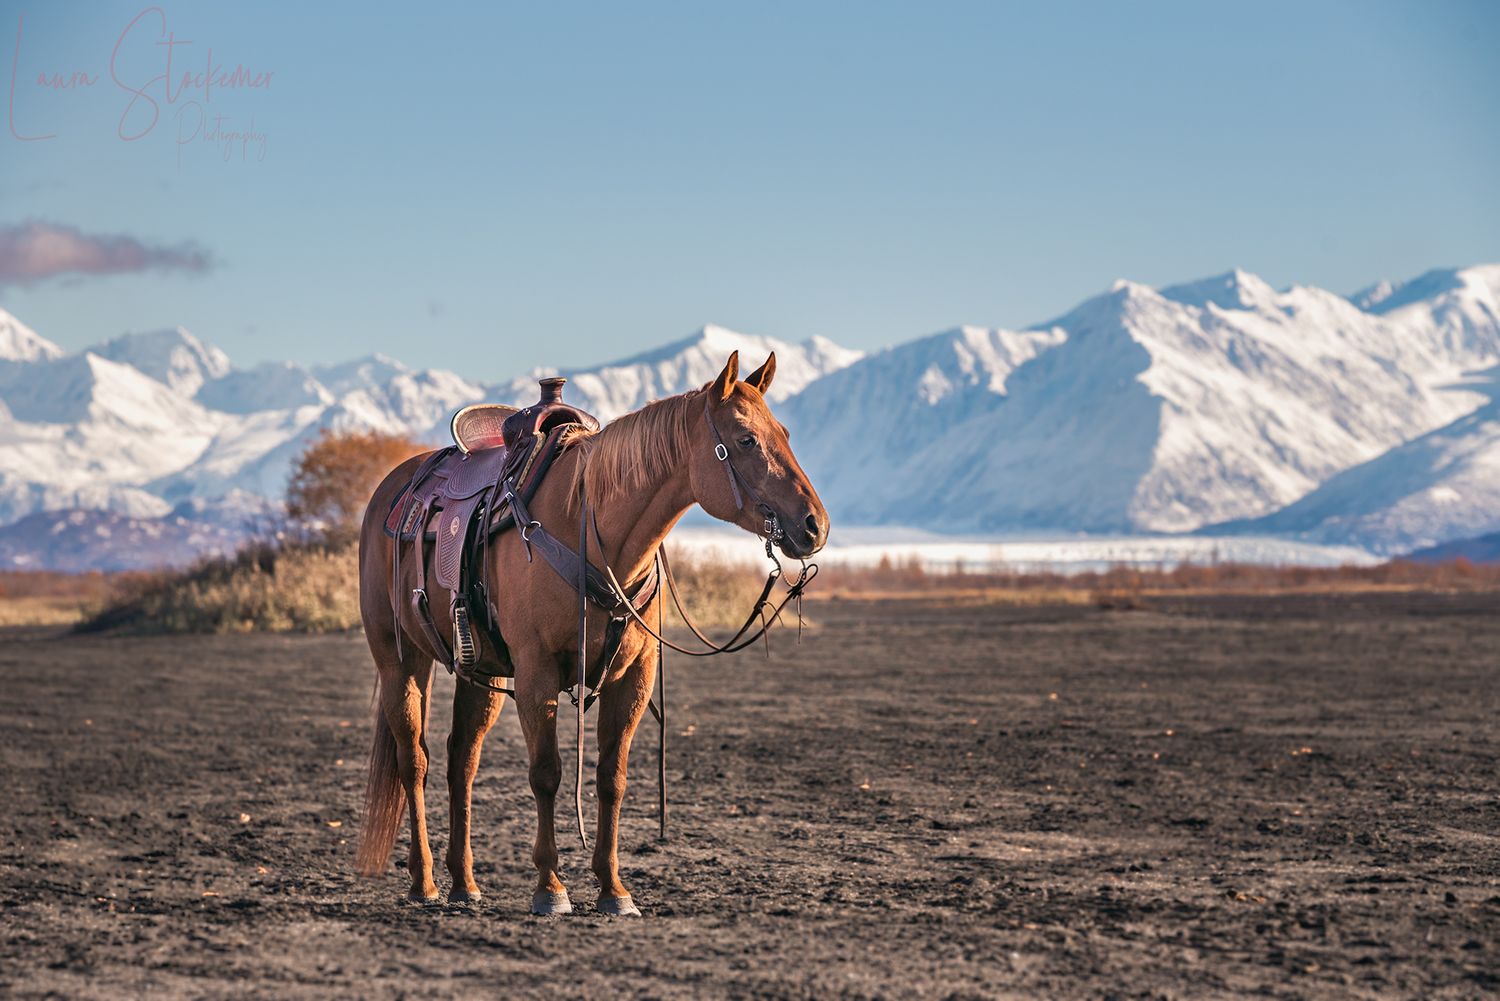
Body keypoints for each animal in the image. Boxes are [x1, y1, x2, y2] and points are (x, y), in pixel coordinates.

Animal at [354, 351, 829, 915]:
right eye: (746, 439)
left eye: (783, 433)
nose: (814, 525)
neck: (590, 529)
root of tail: (392, 488)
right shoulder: (536, 674)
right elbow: (547, 774)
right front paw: (550, 888)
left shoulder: (633, 678)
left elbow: (611, 779)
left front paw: (613, 889)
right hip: (399, 659)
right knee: (415, 761)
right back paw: (424, 881)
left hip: (481, 670)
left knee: (460, 761)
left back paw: (464, 882)